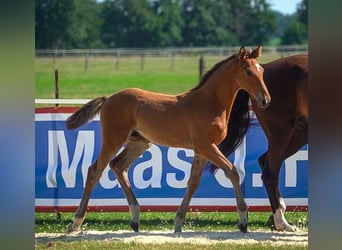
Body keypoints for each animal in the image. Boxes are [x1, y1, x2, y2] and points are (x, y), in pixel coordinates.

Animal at [65, 46, 272, 234]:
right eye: (248, 71)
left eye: (261, 71)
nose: (266, 100)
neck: (209, 103)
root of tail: (108, 98)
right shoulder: (207, 146)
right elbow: (232, 172)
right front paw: (243, 221)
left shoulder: (201, 150)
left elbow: (193, 183)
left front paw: (178, 223)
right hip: (113, 139)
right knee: (95, 171)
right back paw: (76, 222)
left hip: (139, 143)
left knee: (118, 166)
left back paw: (135, 218)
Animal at [207, 53, 308, 231]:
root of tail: (266, 66)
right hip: (281, 133)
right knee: (270, 173)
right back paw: (281, 221)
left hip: (299, 133)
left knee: (264, 161)